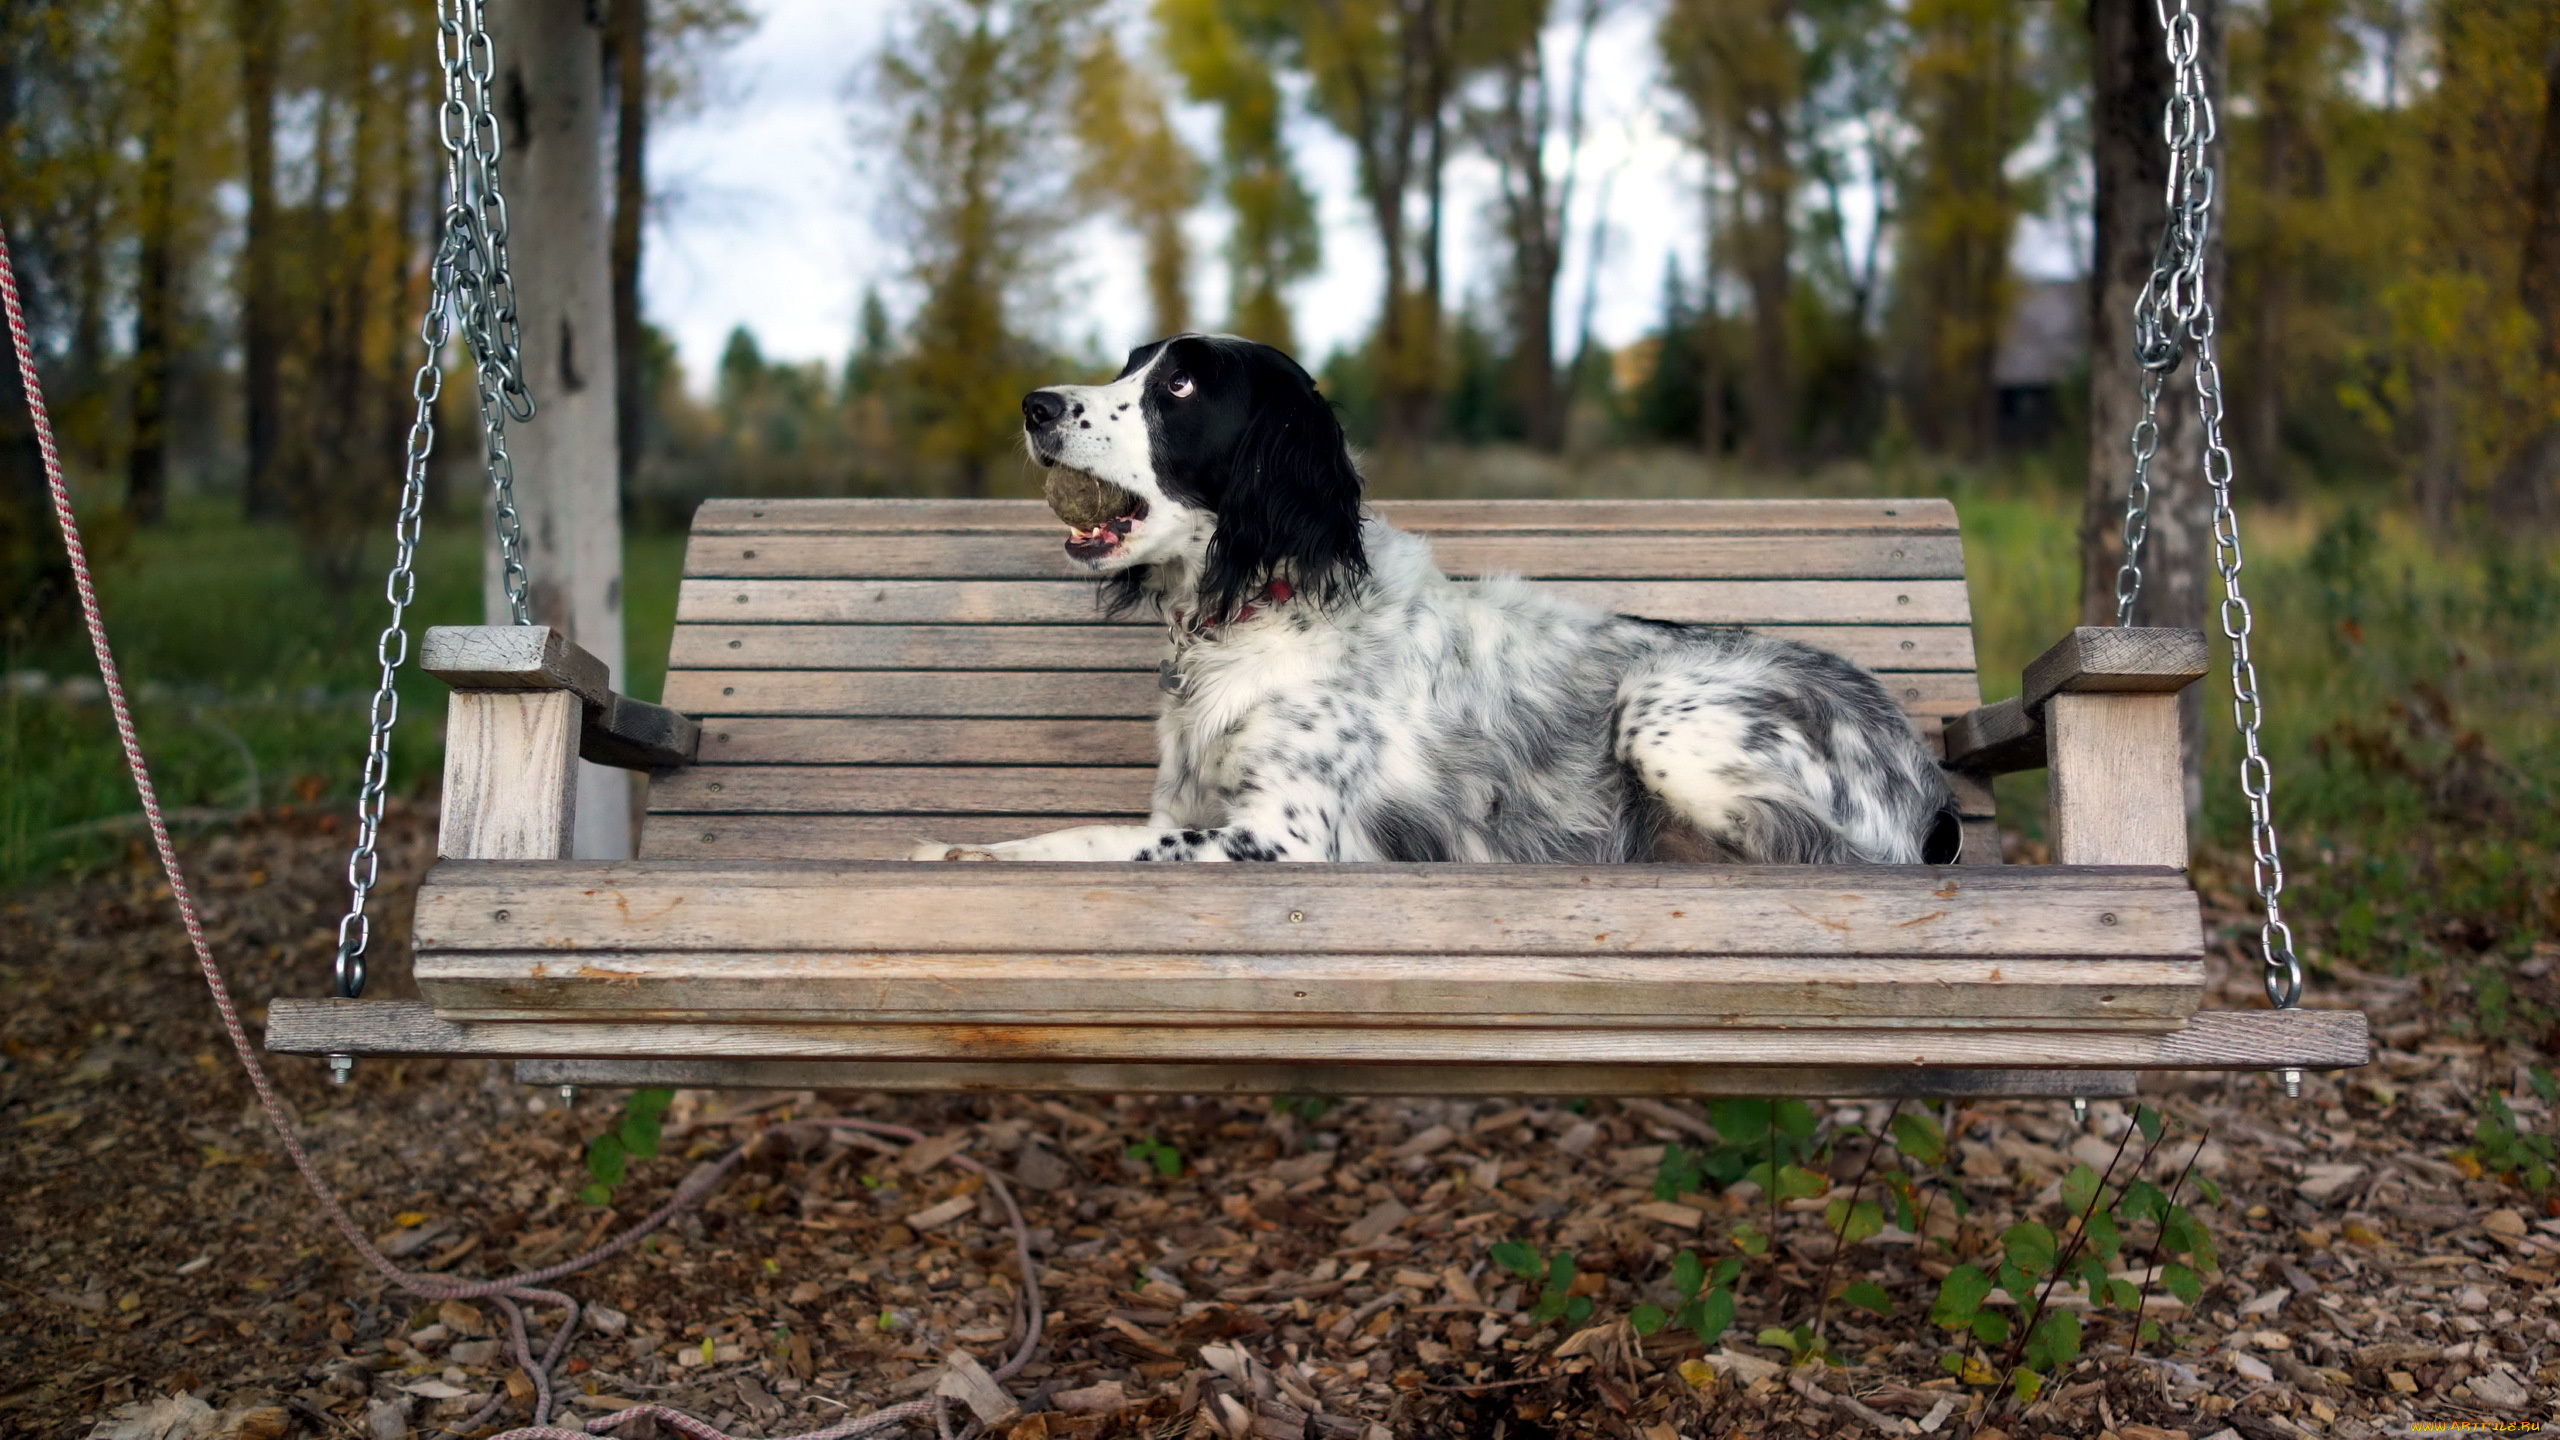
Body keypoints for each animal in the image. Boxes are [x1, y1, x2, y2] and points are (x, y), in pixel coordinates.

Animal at [916, 330, 1955, 855]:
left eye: (1178, 387)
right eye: (1131, 365)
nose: (1035, 404)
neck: (1259, 611)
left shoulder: (1285, 838)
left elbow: (1085, 845)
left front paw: (962, 855)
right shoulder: (1188, 807)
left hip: (1659, 718)